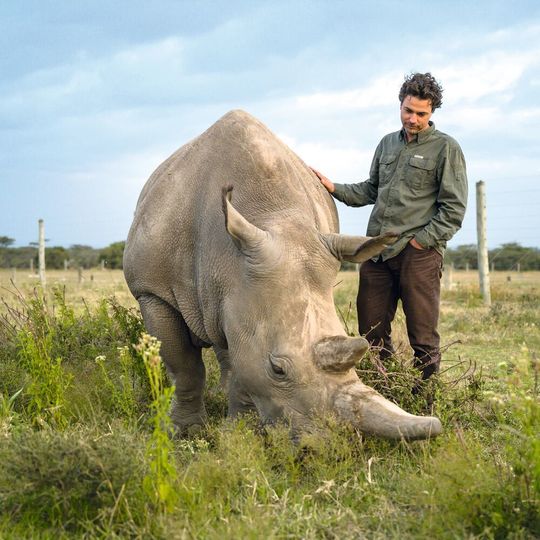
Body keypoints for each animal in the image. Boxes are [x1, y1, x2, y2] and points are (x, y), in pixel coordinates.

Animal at [124, 108, 440, 438]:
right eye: (278, 369)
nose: (317, 445)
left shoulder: (244, 291)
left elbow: (243, 367)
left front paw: (239, 432)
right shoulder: (152, 290)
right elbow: (184, 367)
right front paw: (186, 432)